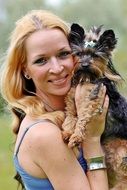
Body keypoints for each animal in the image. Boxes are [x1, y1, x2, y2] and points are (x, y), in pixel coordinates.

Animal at [62, 23, 127, 189]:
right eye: (79, 54)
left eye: (95, 56)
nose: (85, 64)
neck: (86, 78)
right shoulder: (71, 103)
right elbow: (70, 118)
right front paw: (67, 132)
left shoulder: (92, 102)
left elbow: (82, 119)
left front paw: (76, 136)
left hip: (121, 152)